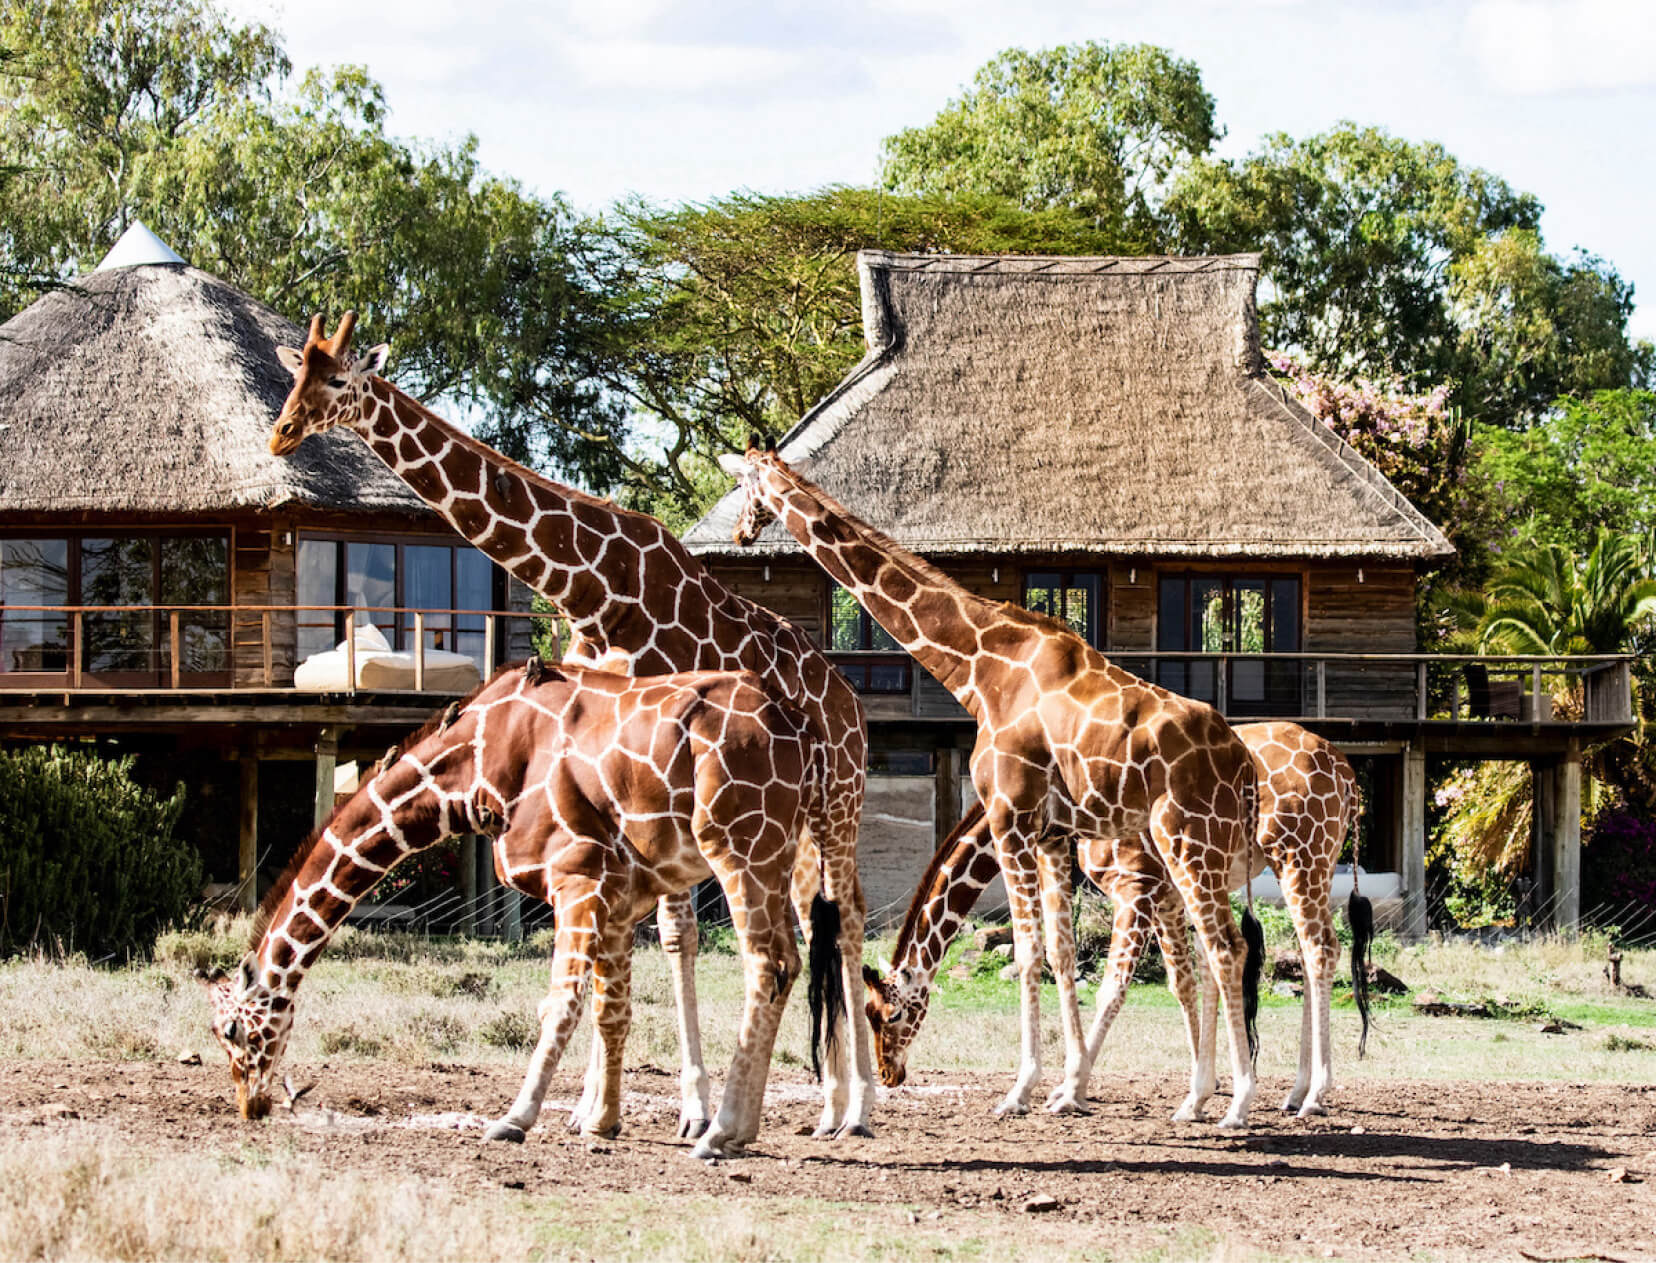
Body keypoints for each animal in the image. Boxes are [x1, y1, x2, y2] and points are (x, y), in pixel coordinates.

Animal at [200, 655, 834, 1158]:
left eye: (231, 1030)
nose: (250, 1104)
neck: (472, 772)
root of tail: (803, 731)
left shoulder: (578, 875)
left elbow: (560, 1004)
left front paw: (514, 1118)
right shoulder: (618, 893)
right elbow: (611, 1009)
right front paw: (602, 1123)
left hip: (739, 848)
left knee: (769, 964)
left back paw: (721, 1133)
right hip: (781, 854)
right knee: (790, 963)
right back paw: (741, 1129)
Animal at [725, 443, 1265, 1125]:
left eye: (884, 1013)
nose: (742, 533)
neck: (980, 671)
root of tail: (1242, 763)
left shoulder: (1011, 818)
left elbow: (1028, 953)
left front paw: (1020, 1090)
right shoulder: (1054, 834)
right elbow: (1060, 954)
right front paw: (1066, 1088)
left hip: (1190, 839)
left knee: (1227, 950)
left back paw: (1236, 1103)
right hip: (1195, 855)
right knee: (1215, 955)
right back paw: (1205, 1097)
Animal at [867, 725, 1371, 1118]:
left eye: (891, 1014)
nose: (889, 1073)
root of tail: (1347, 775)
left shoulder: (1138, 887)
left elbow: (1116, 986)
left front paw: (1070, 1092)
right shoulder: (1166, 895)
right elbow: (1182, 982)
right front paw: (1201, 1088)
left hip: (1299, 856)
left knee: (1320, 949)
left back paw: (1314, 1095)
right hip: (1315, 863)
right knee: (1311, 950)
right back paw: (1296, 1092)